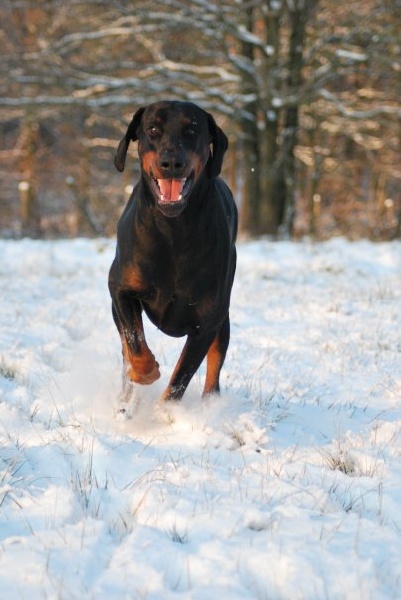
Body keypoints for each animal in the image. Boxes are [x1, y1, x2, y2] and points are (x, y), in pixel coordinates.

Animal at [108, 101, 236, 404]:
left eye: (193, 129)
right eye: (153, 129)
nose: (172, 163)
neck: (173, 232)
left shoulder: (207, 322)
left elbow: (180, 380)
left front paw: (164, 412)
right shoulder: (119, 288)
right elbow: (134, 342)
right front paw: (147, 372)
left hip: (223, 320)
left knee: (214, 367)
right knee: (125, 350)